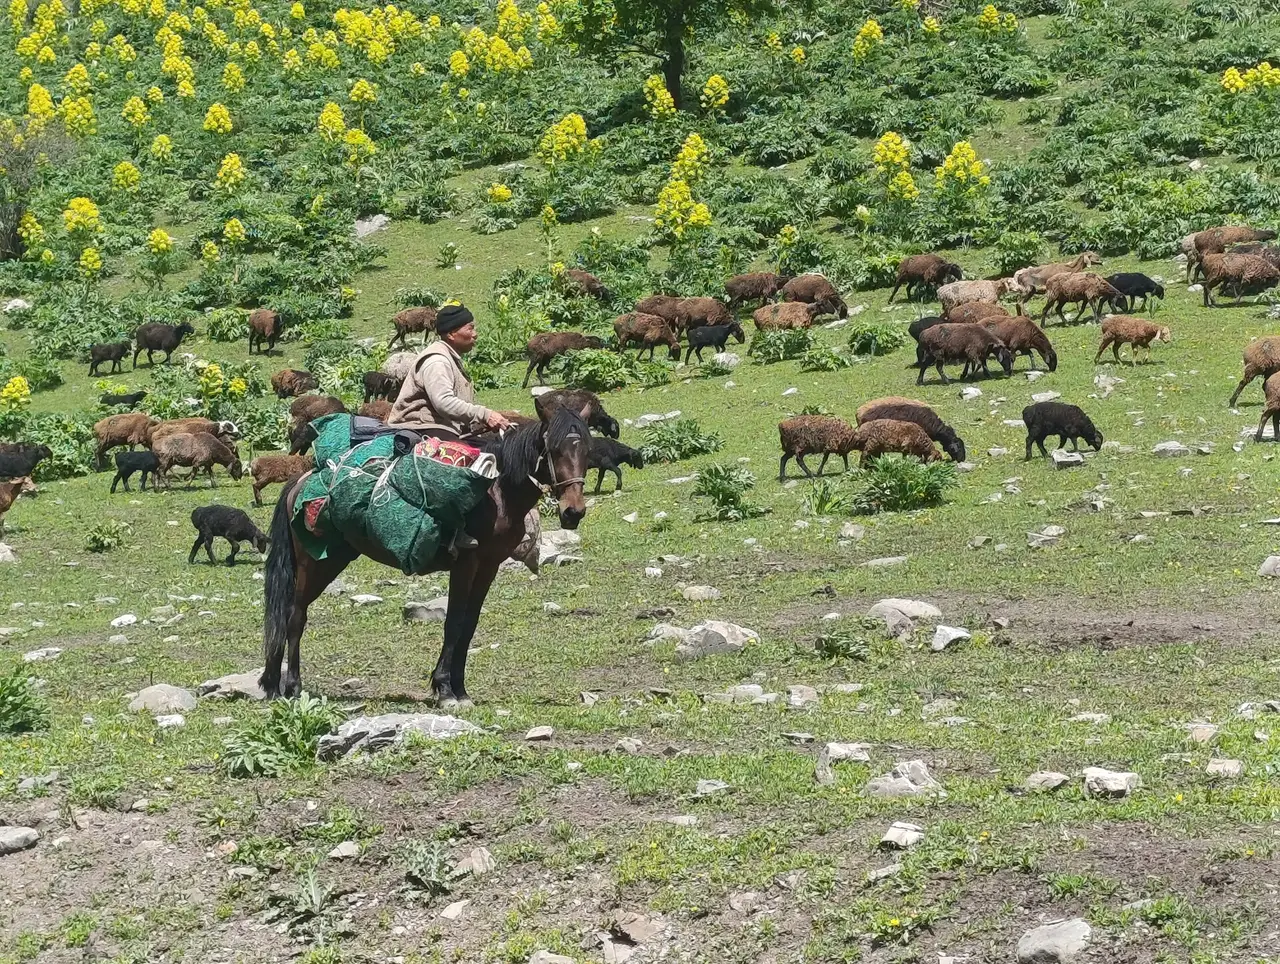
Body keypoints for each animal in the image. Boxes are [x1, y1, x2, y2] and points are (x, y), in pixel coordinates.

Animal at [259, 403, 592, 707]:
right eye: (554, 449)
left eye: (587, 450)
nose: (573, 512)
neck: (499, 494)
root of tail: (299, 482)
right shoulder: (465, 564)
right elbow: (454, 622)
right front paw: (445, 690)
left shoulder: (489, 566)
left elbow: (469, 625)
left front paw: (461, 689)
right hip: (316, 564)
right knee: (295, 616)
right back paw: (292, 686)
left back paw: (272, 685)